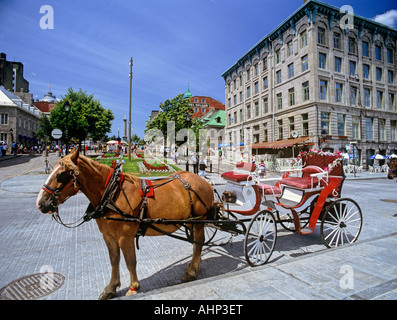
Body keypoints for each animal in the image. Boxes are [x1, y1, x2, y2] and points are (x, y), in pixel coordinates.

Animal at [36, 149, 213, 298]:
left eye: (60, 175)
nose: (40, 203)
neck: (111, 194)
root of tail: (205, 181)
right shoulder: (109, 237)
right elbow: (114, 260)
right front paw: (111, 288)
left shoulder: (125, 237)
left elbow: (130, 261)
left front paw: (133, 287)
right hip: (190, 221)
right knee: (196, 243)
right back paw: (194, 266)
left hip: (199, 221)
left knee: (199, 242)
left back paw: (191, 271)